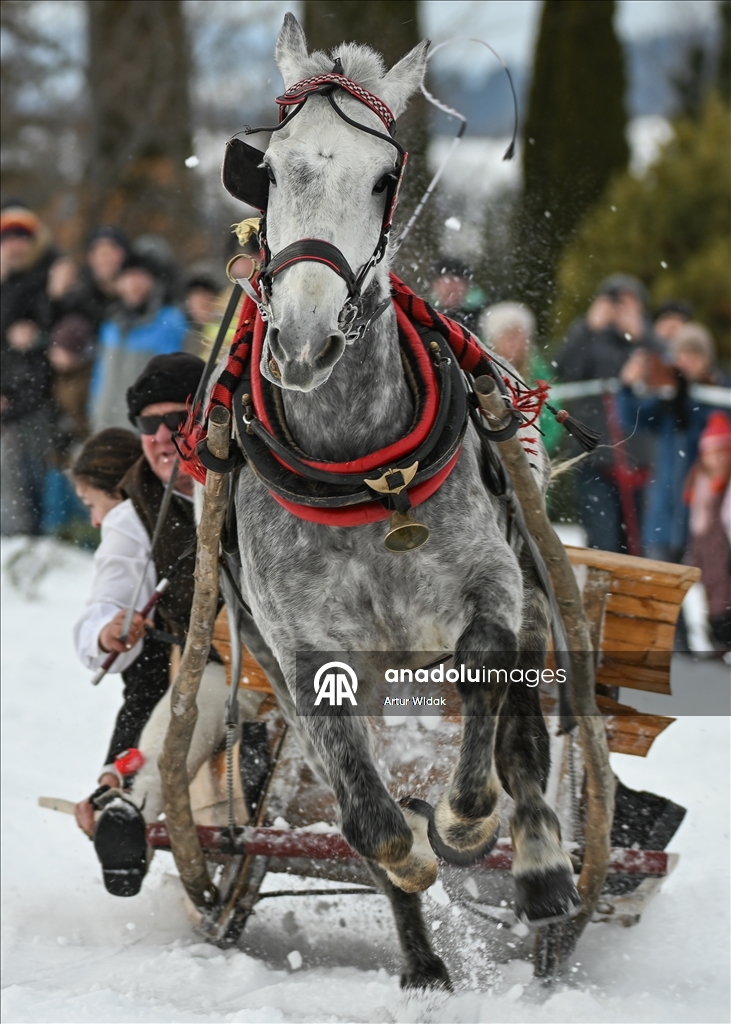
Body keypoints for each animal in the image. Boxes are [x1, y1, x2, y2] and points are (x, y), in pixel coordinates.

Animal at [200, 14, 580, 989]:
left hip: (530, 585)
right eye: (269, 168)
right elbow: (366, 819)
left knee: (525, 740)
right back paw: (421, 958)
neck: (362, 474)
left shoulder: (491, 588)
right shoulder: (302, 653)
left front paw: (462, 824)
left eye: (382, 177)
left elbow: (490, 691)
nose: (301, 338)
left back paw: (539, 868)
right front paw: (408, 855)